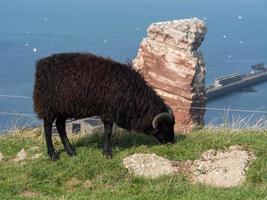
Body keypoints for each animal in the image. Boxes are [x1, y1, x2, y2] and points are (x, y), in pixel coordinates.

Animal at [33, 52, 176, 160]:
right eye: (166, 126)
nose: (172, 142)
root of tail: (41, 66)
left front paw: (105, 151)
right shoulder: (109, 112)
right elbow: (108, 132)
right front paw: (107, 153)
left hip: (63, 107)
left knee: (60, 125)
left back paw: (71, 152)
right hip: (49, 106)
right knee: (48, 128)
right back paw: (53, 155)